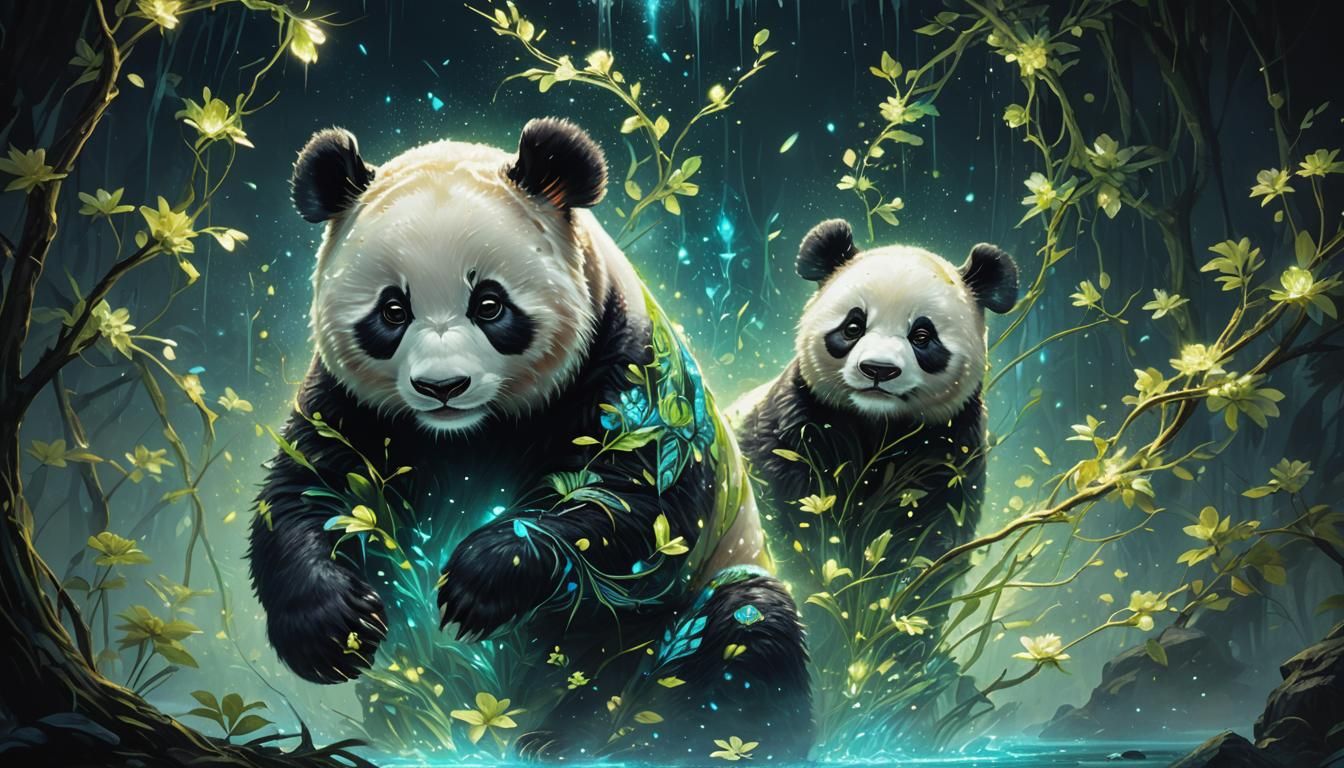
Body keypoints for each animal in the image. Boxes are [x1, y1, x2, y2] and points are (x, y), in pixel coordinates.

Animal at [247, 119, 811, 760]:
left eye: (489, 304)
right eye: (393, 310)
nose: (442, 387)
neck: (468, 432)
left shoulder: (626, 368)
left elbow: (641, 506)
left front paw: (479, 582)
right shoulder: (354, 407)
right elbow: (305, 492)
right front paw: (332, 629)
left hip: (664, 642)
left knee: (745, 637)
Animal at [733, 218, 1018, 617]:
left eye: (922, 335)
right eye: (853, 327)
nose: (878, 369)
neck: (876, 424)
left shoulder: (949, 451)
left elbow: (931, 540)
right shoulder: (796, 424)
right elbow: (795, 519)